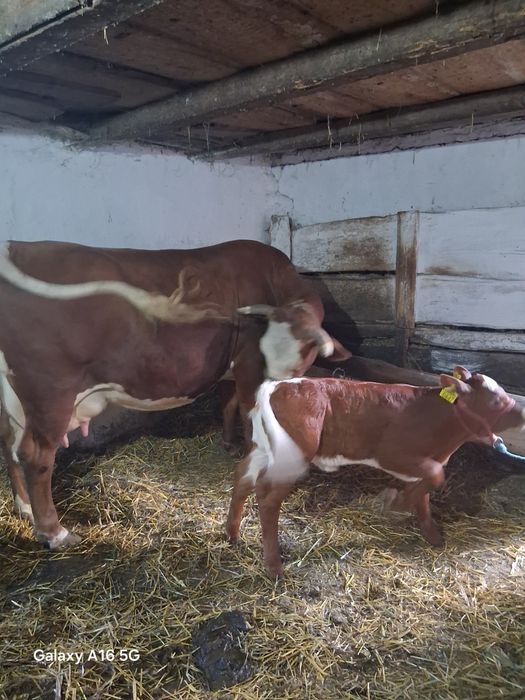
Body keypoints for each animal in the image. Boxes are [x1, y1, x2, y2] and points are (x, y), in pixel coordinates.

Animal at [0, 239, 349, 549]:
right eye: (265, 354)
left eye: (297, 363)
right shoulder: (248, 363)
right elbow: (248, 413)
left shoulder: (230, 363)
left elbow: (228, 403)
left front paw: (228, 443)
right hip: (51, 393)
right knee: (36, 457)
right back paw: (54, 532)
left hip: (14, 398)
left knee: (9, 443)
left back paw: (25, 509)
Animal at [225, 367, 525, 578]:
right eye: (496, 402)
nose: (522, 412)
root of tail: (278, 385)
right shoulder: (392, 454)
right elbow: (435, 476)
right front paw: (396, 502)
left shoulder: (424, 460)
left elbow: (425, 491)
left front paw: (432, 535)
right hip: (292, 456)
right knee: (267, 498)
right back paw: (274, 567)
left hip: (263, 449)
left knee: (242, 477)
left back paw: (233, 534)